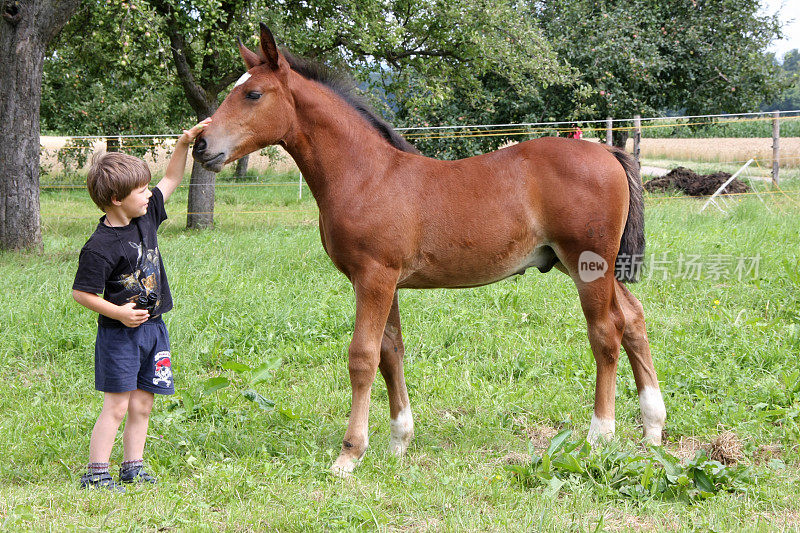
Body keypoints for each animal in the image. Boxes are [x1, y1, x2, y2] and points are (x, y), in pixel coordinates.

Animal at [194, 25, 668, 476]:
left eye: (253, 94)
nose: (200, 145)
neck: (367, 175)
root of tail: (609, 151)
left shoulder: (375, 277)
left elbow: (362, 357)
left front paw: (349, 454)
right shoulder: (384, 281)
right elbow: (390, 353)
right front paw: (399, 442)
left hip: (589, 265)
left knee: (605, 333)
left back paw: (600, 436)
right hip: (584, 265)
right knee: (633, 318)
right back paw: (652, 429)